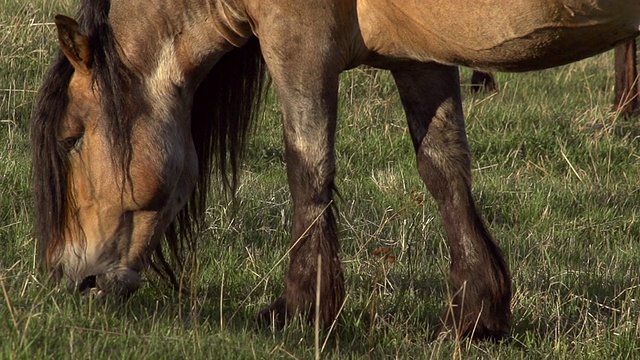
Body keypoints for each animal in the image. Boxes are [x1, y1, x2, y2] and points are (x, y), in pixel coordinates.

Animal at [31, 0, 640, 342]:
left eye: (70, 139)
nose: (71, 279)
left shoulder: (297, 43)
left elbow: (308, 166)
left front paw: (301, 311)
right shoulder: (420, 52)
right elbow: (443, 166)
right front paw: (475, 314)